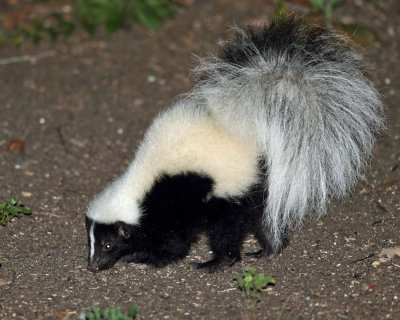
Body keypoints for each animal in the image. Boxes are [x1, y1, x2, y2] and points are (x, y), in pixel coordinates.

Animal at [84, 16, 384, 272]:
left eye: (108, 244)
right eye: (91, 242)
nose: (93, 265)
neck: (139, 190)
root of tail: (255, 134)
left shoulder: (172, 206)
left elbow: (175, 243)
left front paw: (144, 259)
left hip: (228, 194)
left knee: (227, 232)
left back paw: (217, 263)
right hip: (255, 190)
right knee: (263, 219)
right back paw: (268, 250)